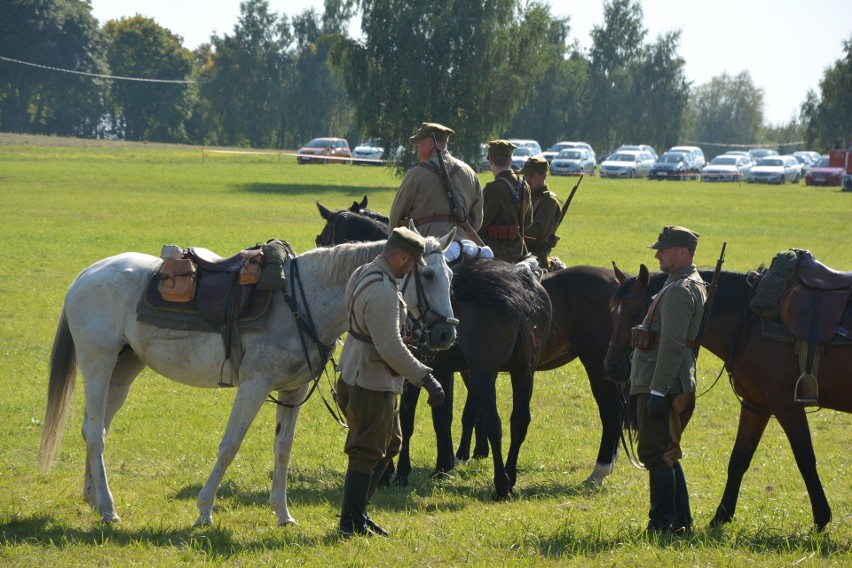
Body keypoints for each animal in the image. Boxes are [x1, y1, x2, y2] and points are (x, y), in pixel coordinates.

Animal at [38, 229, 460, 524]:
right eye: (427, 274)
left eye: (450, 275)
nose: (446, 334)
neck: (301, 299)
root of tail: (86, 275)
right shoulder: (256, 386)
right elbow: (230, 445)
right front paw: (204, 510)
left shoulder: (293, 391)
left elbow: (282, 450)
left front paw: (283, 513)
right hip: (97, 362)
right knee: (94, 431)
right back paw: (109, 508)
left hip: (124, 369)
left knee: (97, 429)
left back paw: (94, 498)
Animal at [314, 202, 624, 494]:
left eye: (325, 235)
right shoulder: (448, 369)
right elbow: (450, 414)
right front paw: (448, 463)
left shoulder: (423, 367)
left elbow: (412, 417)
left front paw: (402, 472)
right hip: (525, 370)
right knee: (520, 420)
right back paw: (513, 474)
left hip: (591, 366)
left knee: (607, 412)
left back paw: (584, 472)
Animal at [604, 264, 852, 532]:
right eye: (612, 313)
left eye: (635, 314)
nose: (612, 367)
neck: (751, 319)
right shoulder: (757, 404)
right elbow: (739, 458)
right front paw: (721, 516)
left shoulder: (785, 403)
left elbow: (805, 457)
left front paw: (821, 517)